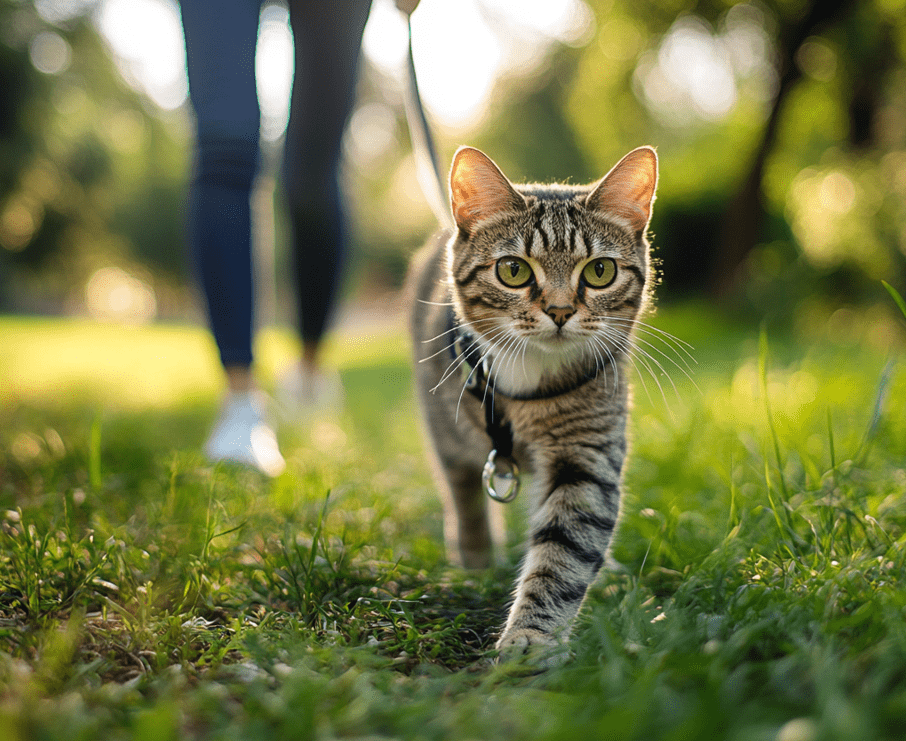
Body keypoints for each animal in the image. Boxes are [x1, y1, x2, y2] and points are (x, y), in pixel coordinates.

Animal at [408, 146, 656, 660]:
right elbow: (467, 500)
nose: (560, 311)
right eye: (513, 270)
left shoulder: (586, 453)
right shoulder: (449, 436)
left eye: (600, 271)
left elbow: (565, 550)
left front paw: (532, 635)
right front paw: (478, 566)